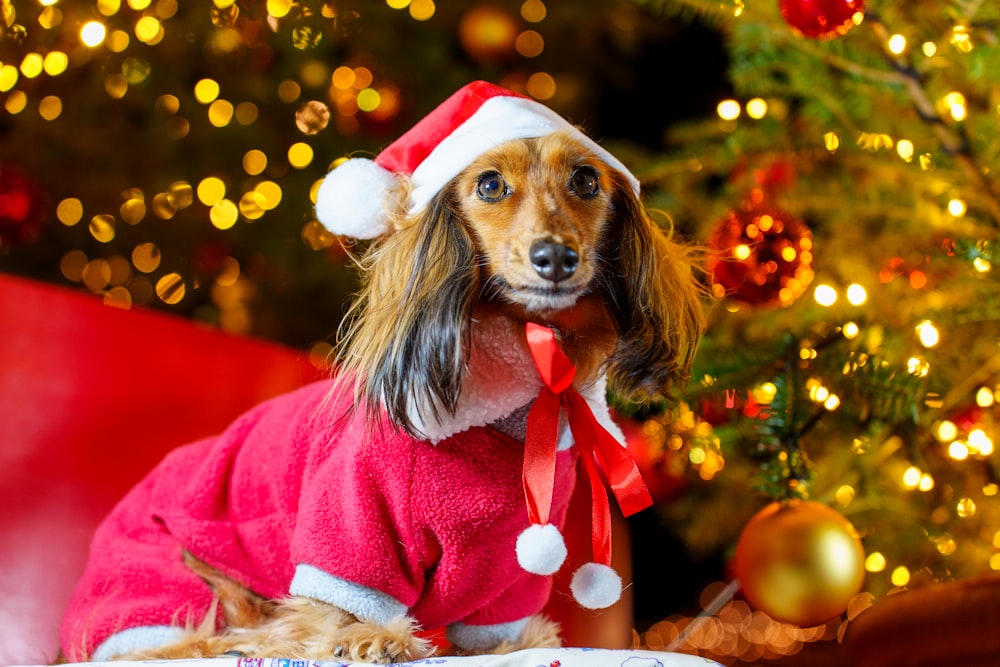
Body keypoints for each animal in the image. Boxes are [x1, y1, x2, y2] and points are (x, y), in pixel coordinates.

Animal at [62, 82, 704, 664]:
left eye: (586, 181)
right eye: (489, 184)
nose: (555, 258)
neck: (517, 401)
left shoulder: (508, 573)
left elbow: (499, 631)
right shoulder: (352, 527)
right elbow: (339, 605)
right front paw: (368, 638)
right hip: (165, 587)